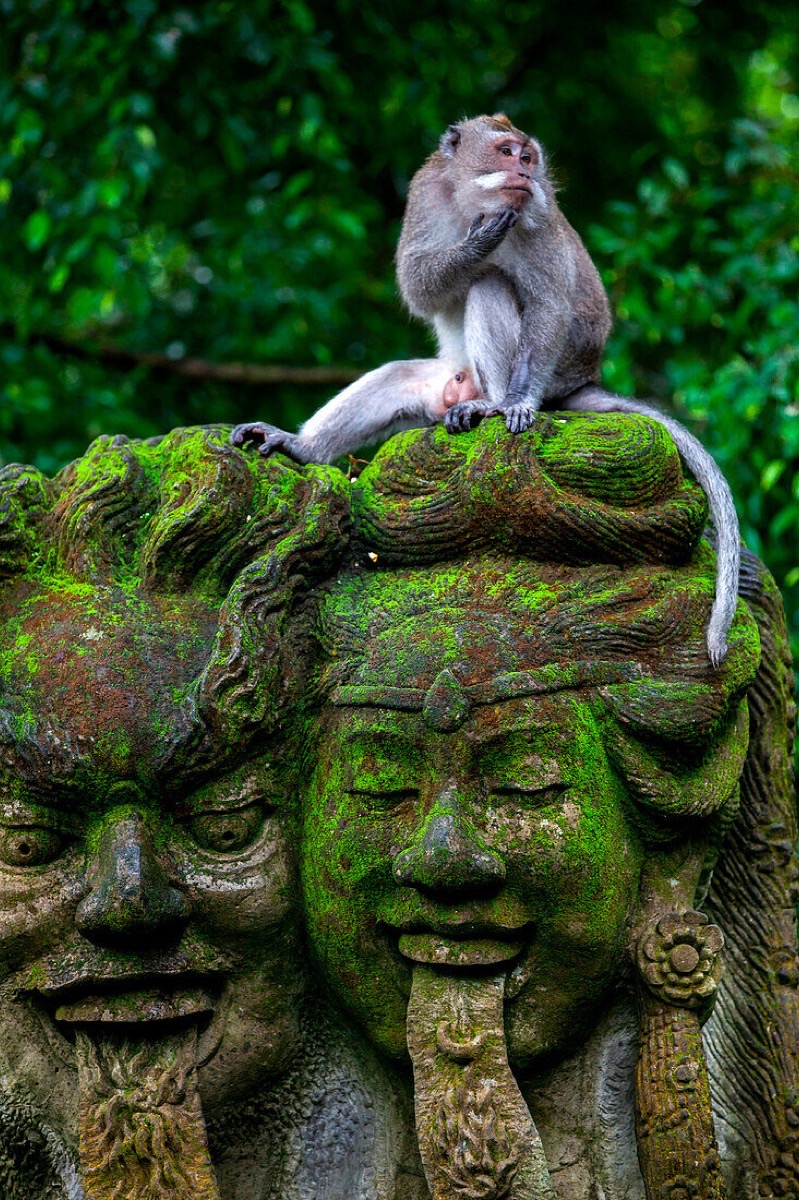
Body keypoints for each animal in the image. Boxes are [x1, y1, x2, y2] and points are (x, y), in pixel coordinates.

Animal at [231, 114, 739, 665]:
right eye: (506, 151)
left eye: (528, 157)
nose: (523, 171)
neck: (473, 199)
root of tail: (585, 378)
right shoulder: (425, 191)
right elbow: (417, 282)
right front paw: (475, 246)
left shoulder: (537, 216)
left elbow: (548, 305)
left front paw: (515, 399)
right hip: (443, 380)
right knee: (399, 374)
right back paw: (301, 447)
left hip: (552, 375)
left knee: (490, 287)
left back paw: (491, 405)